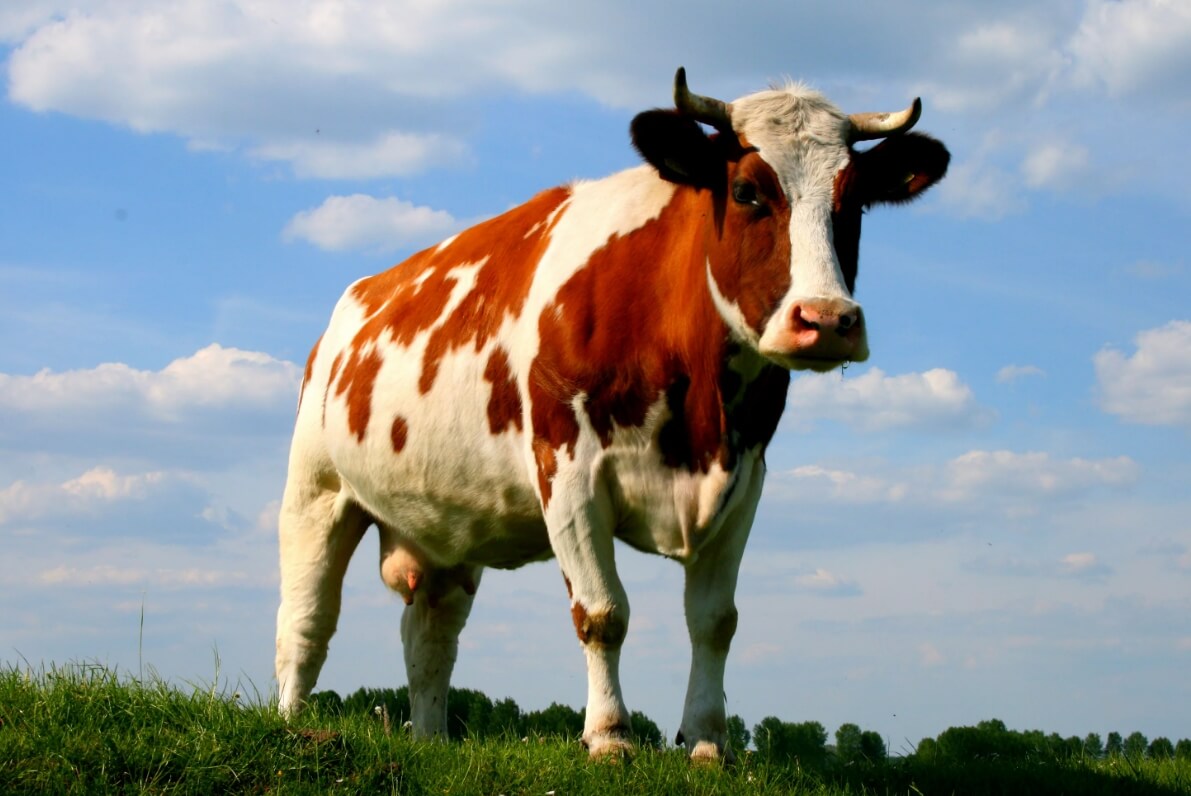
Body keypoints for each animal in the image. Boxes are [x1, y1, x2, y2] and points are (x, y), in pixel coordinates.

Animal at [275, 67, 949, 761]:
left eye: (856, 202)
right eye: (746, 192)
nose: (828, 320)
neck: (700, 424)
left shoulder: (746, 480)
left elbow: (715, 622)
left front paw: (707, 743)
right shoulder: (568, 469)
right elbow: (602, 614)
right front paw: (609, 736)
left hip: (446, 525)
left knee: (431, 636)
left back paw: (432, 740)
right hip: (316, 489)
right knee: (306, 621)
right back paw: (292, 724)